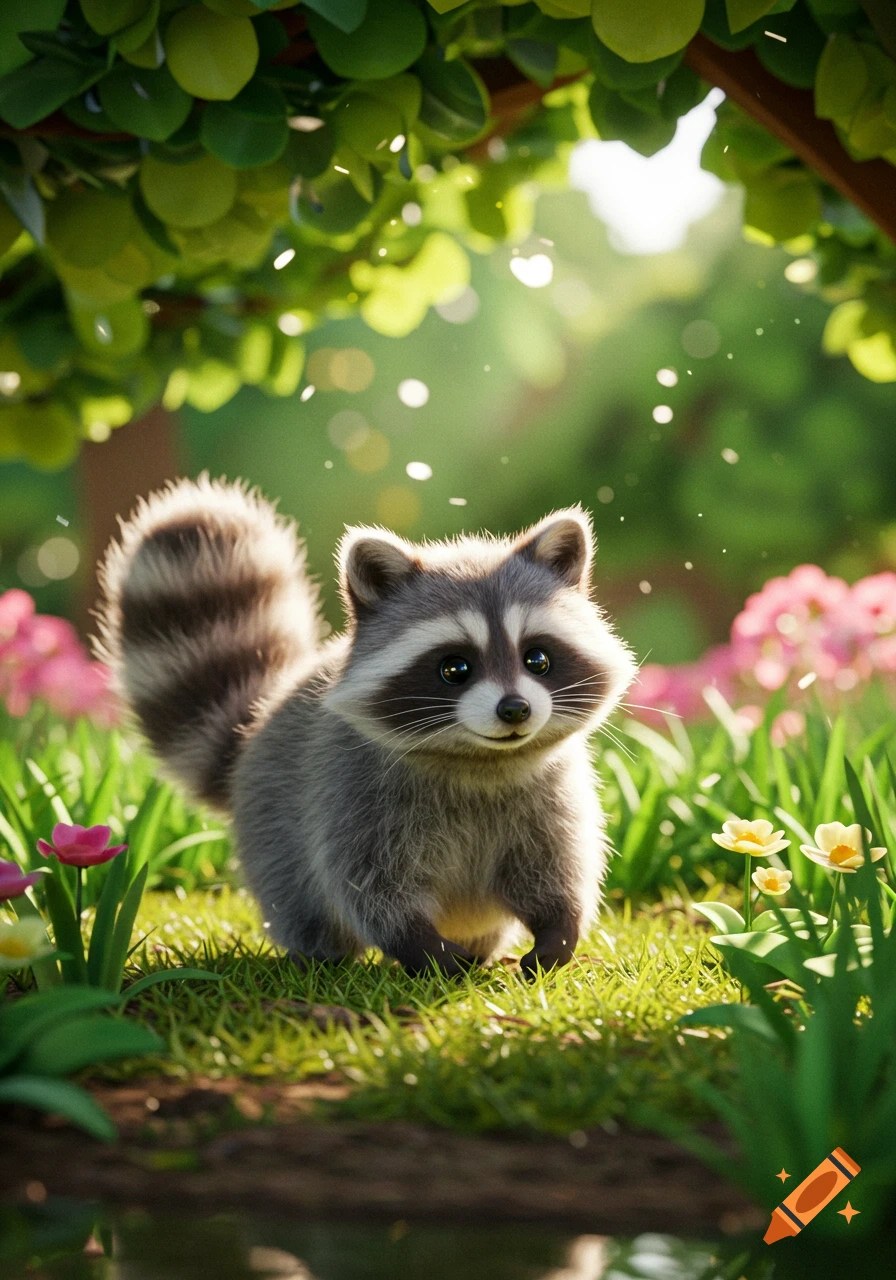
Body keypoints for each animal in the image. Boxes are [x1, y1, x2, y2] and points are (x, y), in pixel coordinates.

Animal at [97, 476, 636, 976]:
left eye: (537, 659)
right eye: (455, 668)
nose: (515, 709)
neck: (479, 759)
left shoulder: (553, 794)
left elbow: (558, 871)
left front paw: (558, 933)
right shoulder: (353, 793)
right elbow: (371, 889)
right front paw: (424, 949)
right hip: (272, 825)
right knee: (300, 894)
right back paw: (321, 956)